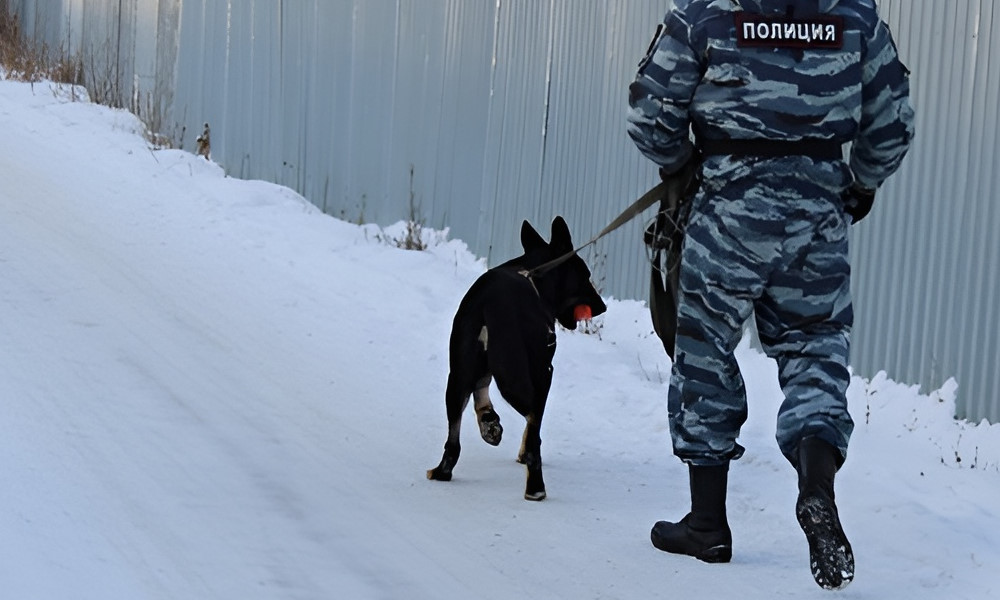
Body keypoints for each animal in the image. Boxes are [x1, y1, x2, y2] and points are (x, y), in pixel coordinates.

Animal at [426, 218, 604, 500]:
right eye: (585, 274)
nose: (602, 306)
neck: (534, 274)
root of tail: (488, 303)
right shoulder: (544, 370)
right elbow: (533, 428)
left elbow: (482, 388)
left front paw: (489, 421)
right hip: (529, 375)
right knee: (533, 430)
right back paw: (536, 488)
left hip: (457, 375)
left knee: (453, 441)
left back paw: (446, 468)